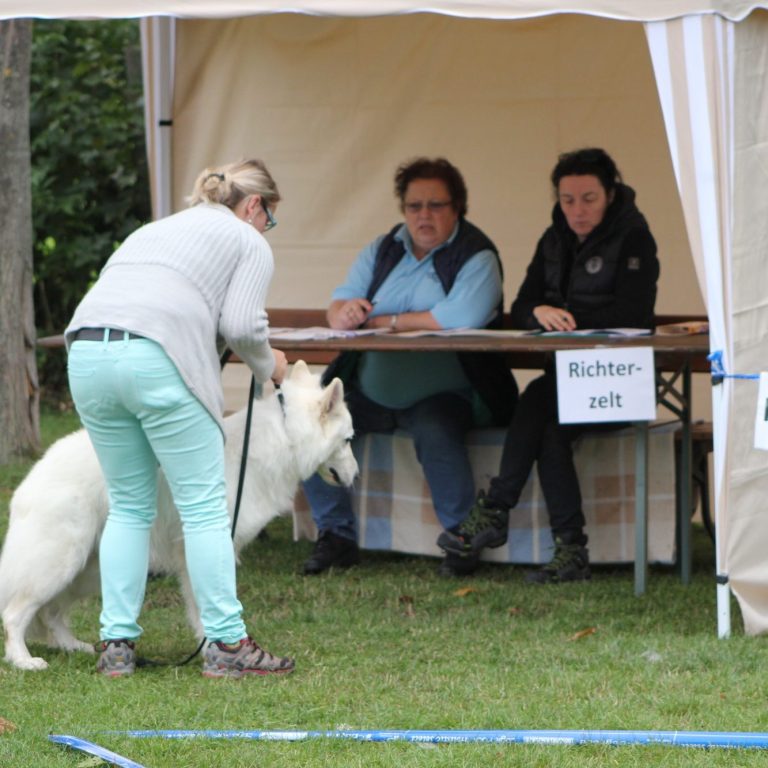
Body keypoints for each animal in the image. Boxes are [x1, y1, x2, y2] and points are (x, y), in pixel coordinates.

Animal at [0, 364, 356, 668]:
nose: (356, 475)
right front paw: (218, 647)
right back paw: (23, 660)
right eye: (349, 439)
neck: (284, 436)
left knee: (52, 614)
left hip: (89, 570)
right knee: (16, 613)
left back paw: (74, 646)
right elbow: (206, 603)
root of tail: (30, 480)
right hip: (60, 565)